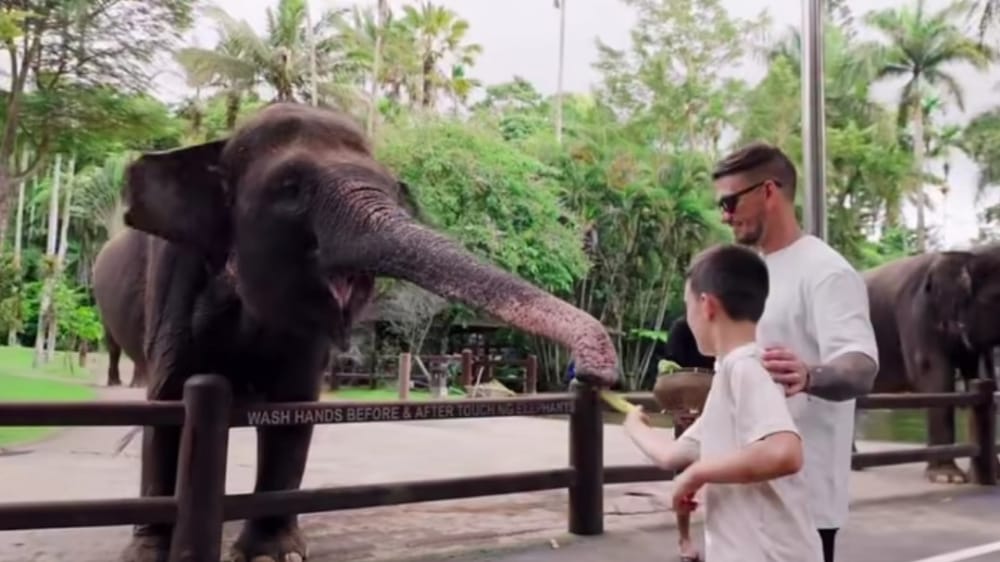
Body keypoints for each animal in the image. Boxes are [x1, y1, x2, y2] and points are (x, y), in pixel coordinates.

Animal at [91, 102, 619, 562]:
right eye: (290, 188)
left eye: (394, 188)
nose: (593, 373)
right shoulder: (173, 278)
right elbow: (171, 401)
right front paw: (149, 554)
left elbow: (293, 410)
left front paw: (272, 555)